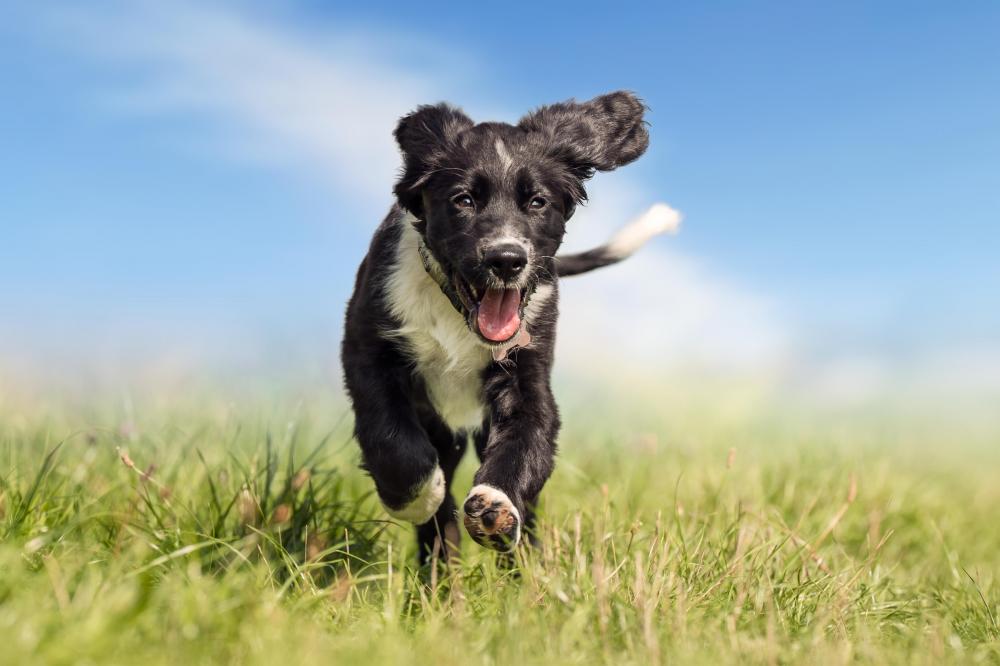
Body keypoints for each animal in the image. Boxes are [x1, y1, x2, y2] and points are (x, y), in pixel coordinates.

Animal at [344, 89, 680, 556]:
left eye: (537, 202)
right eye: (463, 200)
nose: (506, 259)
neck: (456, 316)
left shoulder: (527, 370)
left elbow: (527, 438)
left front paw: (496, 507)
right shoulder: (368, 349)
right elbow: (391, 437)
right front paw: (417, 497)